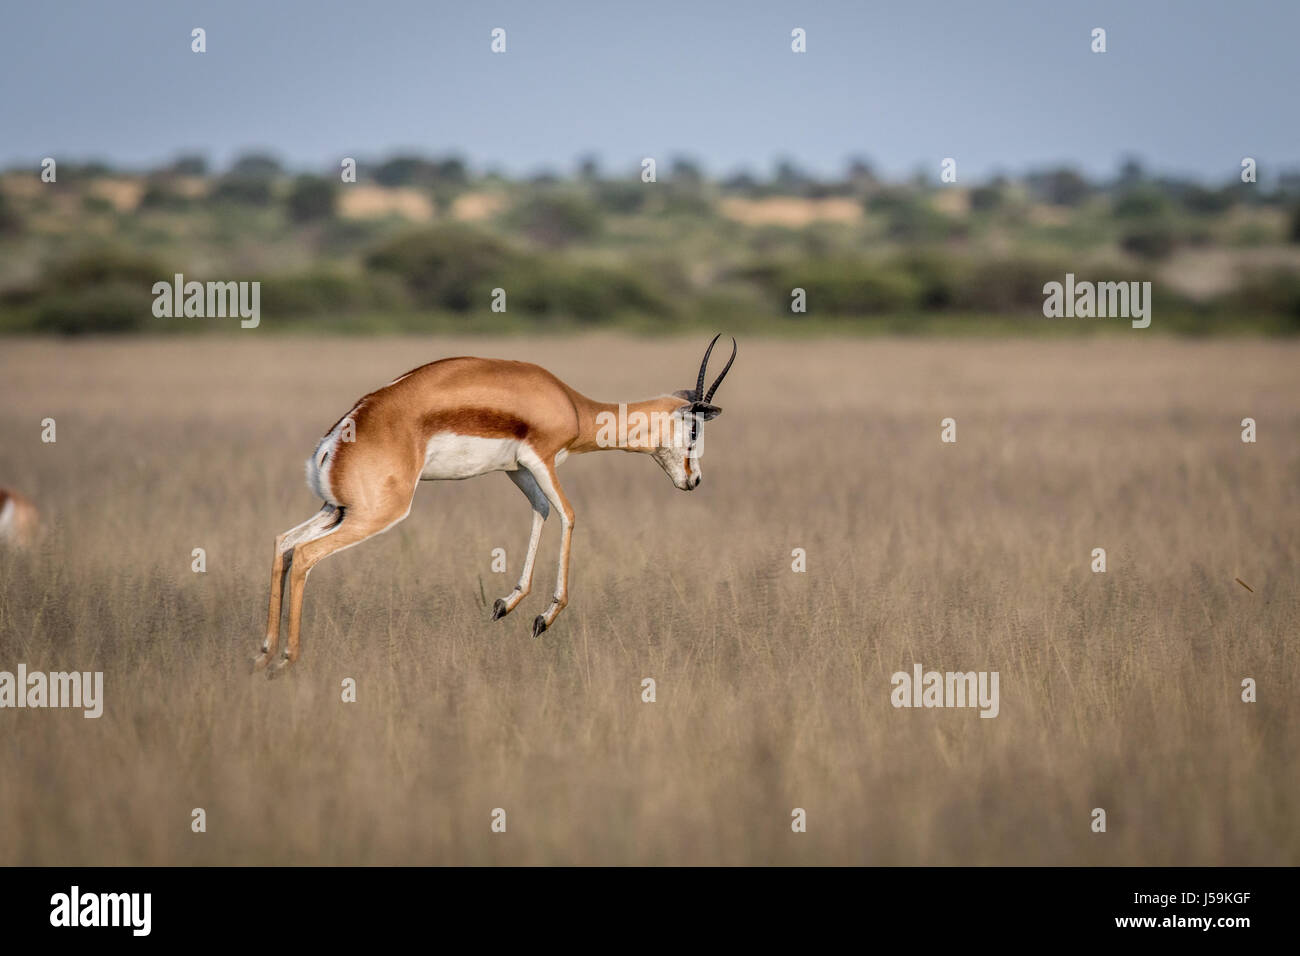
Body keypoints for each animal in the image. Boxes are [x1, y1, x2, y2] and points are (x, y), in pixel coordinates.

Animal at [258, 335, 738, 671]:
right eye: (694, 429)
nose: (694, 480)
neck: (573, 405)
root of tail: (335, 439)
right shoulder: (542, 458)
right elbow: (569, 515)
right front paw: (544, 618)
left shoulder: (518, 469)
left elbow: (541, 512)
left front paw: (507, 605)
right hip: (376, 514)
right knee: (305, 556)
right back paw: (286, 659)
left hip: (337, 510)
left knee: (284, 544)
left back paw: (262, 653)